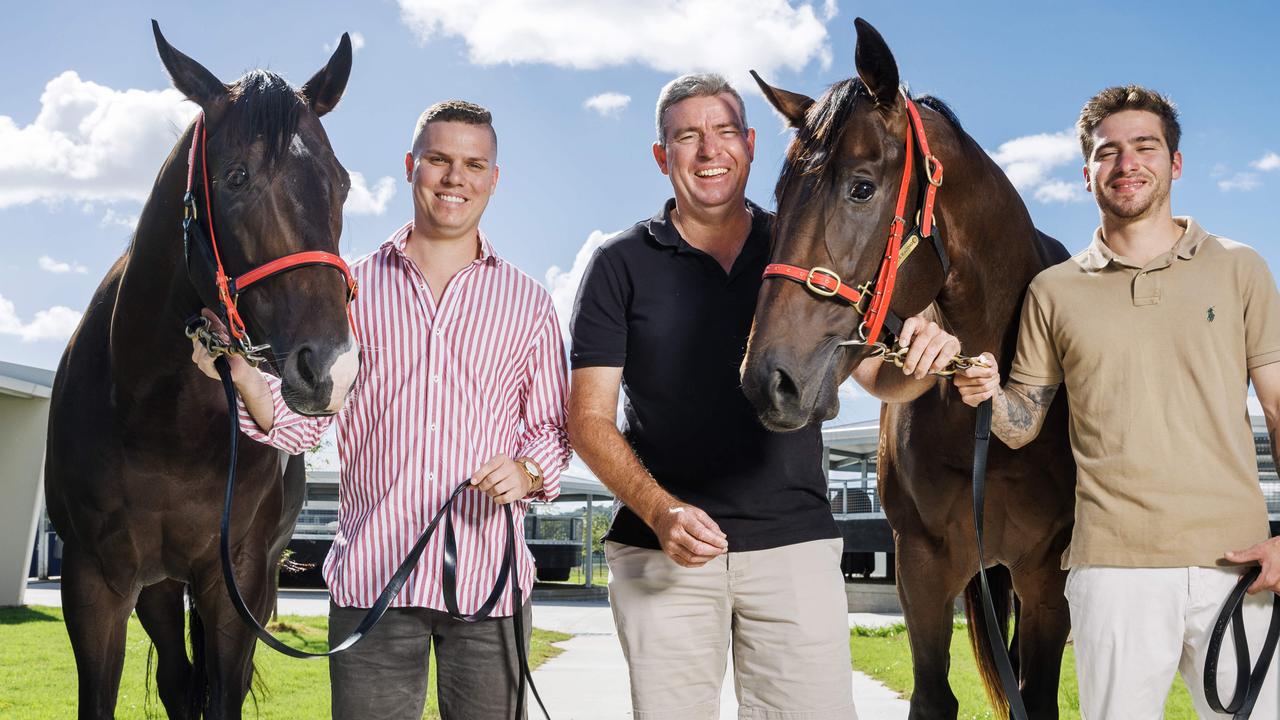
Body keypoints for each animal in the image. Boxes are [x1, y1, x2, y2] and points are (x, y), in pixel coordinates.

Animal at [46, 22, 355, 717]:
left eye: (343, 181)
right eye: (236, 176)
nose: (331, 367)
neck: (164, 420)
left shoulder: (235, 582)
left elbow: (225, 693)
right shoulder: (94, 585)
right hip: (159, 588)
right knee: (177, 680)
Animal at [742, 16, 1080, 717]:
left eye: (861, 187)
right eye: (779, 197)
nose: (769, 380)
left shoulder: (1048, 578)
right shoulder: (922, 569)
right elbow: (932, 696)